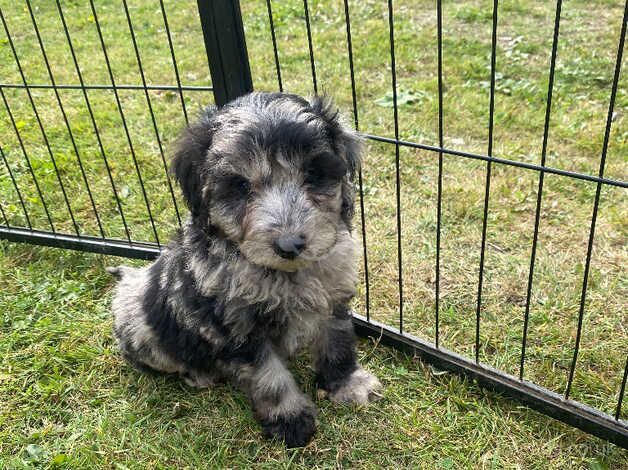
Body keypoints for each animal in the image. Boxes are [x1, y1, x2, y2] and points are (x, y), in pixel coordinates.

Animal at [108, 92, 382, 448]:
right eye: (240, 185)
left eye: (313, 173)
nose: (290, 244)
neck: (282, 274)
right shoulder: (237, 326)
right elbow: (269, 376)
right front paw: (290, 421)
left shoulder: (332, 297)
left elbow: (337, 343)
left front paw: (346, 384)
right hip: (143, 329)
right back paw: (200, 374)